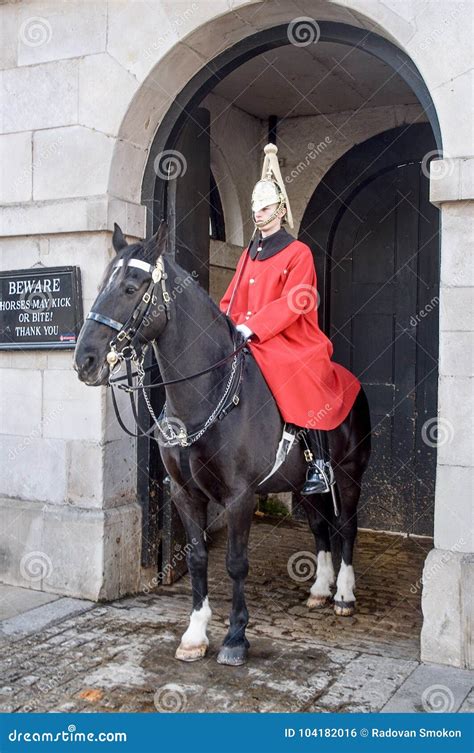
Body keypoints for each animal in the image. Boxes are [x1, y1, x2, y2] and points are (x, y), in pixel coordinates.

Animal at [75, 223, 370, 664]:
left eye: (130, 287)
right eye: (100, 286)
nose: (85, 361)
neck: (207, 394)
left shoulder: (239, 496)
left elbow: (235, 563)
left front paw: (235, 637)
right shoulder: (184, 494)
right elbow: (198, 558)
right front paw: (195, 633)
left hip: (349, 476)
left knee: (347, 528)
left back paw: (345, 595)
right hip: (306, 486)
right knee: (320, 527)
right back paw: (320, 588)